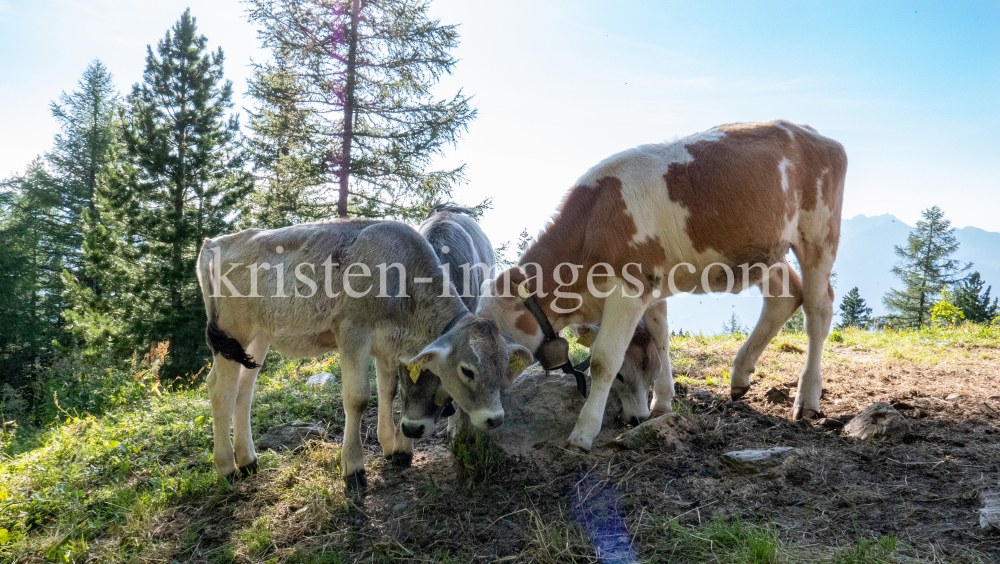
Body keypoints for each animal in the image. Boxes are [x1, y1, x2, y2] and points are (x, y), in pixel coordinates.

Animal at [190, 220, 528, 490]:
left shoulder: (388, 344)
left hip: (258, 336)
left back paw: (248, 460)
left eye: (503, 368)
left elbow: (388, 390)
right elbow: (358, 397)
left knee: (244, 389)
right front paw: (353, 470)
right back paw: (227, 467)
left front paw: (392, 447)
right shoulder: (352, 332)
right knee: (220, 388)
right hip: (232, 330)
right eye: (467, 370)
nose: (494, 418)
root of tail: (215, 242)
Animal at [476, 121, 844, 452]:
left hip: (818, 234)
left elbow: (604, 360)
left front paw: (583, 434)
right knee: (784, 295)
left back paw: (807, 398)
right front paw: (663, 402)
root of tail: (812, 133)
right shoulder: (651, 287)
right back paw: (740, 377)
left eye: (500, 339)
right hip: (763, 251)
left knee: (817, 308)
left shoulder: (629, 287)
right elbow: (660, 335)